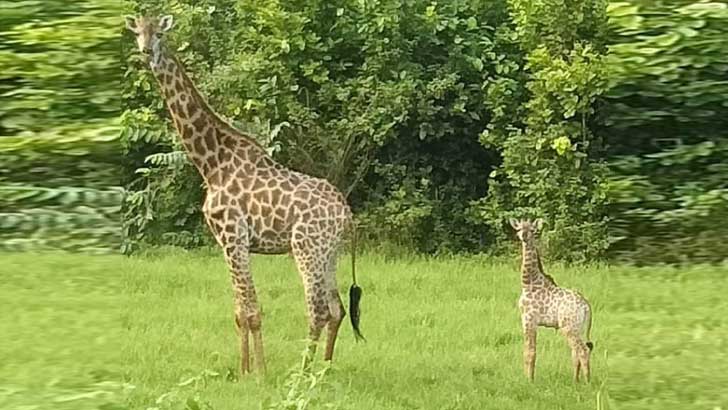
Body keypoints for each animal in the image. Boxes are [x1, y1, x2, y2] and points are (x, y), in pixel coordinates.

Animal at [126, 15, 366, 374]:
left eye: (160, 33)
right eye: (137, 32)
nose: (145, 52)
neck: (211, 163)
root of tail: (346, 214)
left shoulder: (232, 236)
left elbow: (252, 312)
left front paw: (260, 374)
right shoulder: (229, 242)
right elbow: (240, 312)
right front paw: (244, 371)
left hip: (306, 248)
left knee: (318, 310)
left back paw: (301, 373)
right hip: (328, 252)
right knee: (336, 309)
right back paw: (323, 370)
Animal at [510, 219, 596, 382]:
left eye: (532, 230)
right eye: (518, 229)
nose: (523, 236)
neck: (528, 283)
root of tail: (586, 305)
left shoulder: (529, 319)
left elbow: (530, 352)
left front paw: (529, 380)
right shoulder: (528, 321)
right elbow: (528, 350)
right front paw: (528, 378)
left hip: (568, 326)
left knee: (582, 350)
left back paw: (587, 382)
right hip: (578, 327)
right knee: (577, 352)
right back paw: (575, 381)